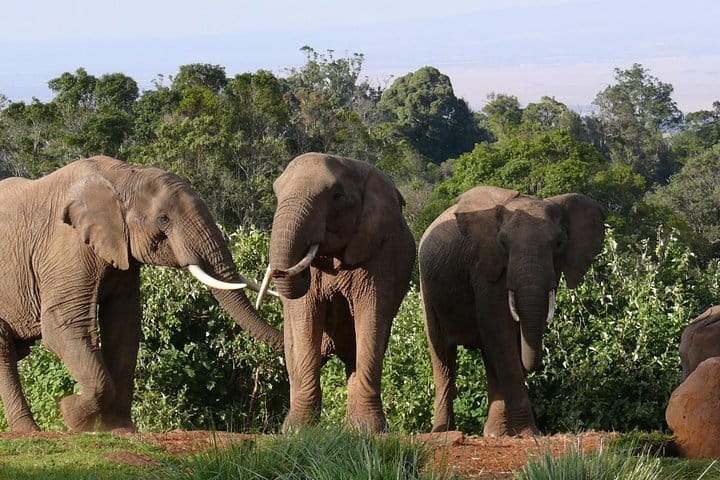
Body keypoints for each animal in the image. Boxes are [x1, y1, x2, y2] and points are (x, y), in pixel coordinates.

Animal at [0, 156, 282, 433]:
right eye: (164, 219)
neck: (123, 176)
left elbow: (124, 327)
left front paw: (121, 429)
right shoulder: (65, 248)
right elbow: (64, 326)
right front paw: (71, 413)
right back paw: (28, 431)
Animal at [255, 152, 415, 433]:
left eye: (337, 196)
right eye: (276, 194)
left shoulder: (382, 255)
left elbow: (371, 316)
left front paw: (369, 430)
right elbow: (305, 317)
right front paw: (297, 430)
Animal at [419, 186, 605, 436]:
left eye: (559, 243)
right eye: (503, 243)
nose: (538, 365)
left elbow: (513, 338)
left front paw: (514, 433)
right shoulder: (484, 265)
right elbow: (499, 331)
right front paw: (528, 433)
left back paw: (494, 432)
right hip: (428, 289)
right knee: (443, 357)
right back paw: (442, 431)